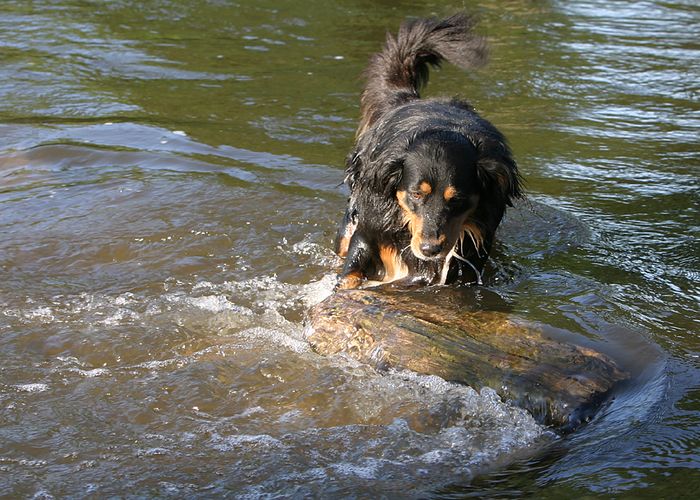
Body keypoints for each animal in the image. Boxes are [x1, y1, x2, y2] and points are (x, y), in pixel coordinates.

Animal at [334, 13, 520, 290]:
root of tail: (407, 98)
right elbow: (351, 273)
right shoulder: (369, 229)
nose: (430, 249)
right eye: (416, 194)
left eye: (457, 199)